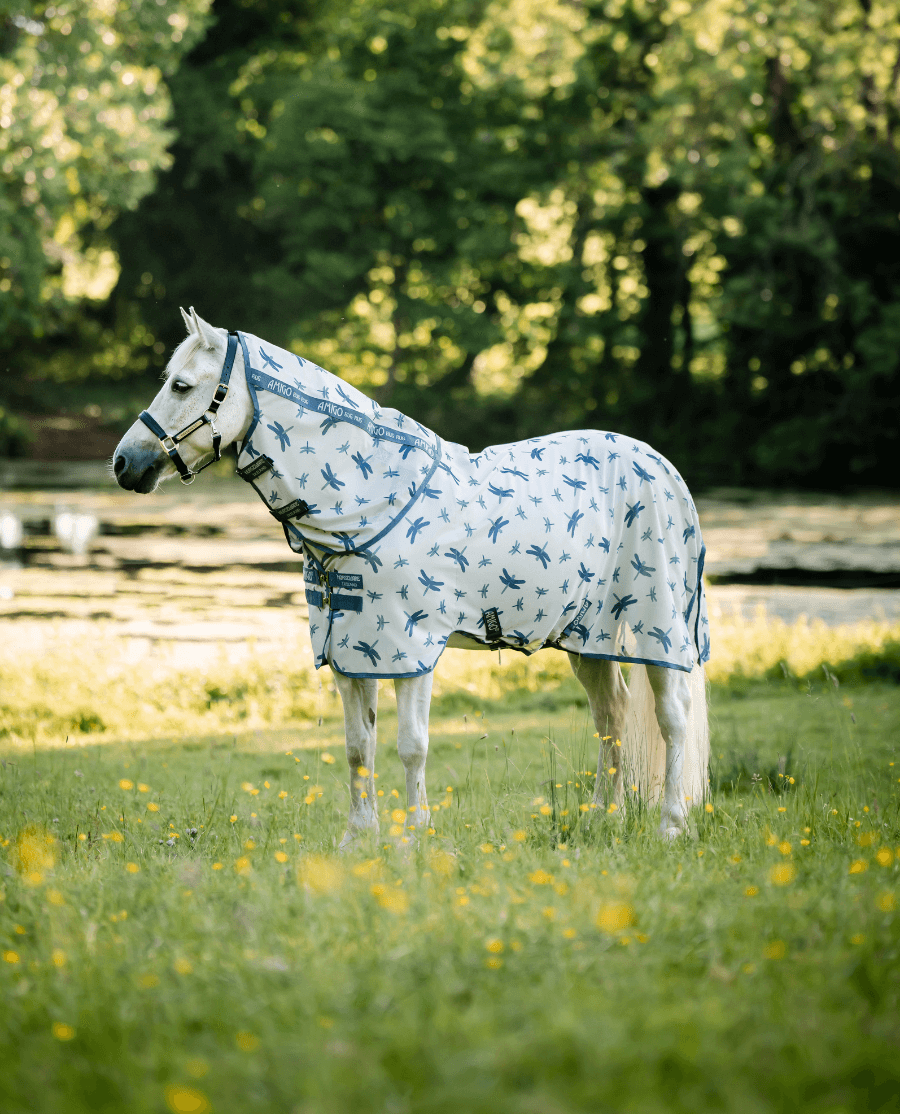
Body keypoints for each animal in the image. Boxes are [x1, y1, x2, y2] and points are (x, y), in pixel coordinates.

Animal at [113, 308, 710, 844]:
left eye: (182, 385)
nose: (124, 464)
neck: (369, 503)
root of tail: (662, 468)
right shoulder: (350, 651)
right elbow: (358, 746)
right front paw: (359, 838)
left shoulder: (412, 648)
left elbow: (411, 745)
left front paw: (415, 837)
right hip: (588, 638)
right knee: (612, 716)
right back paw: (602, 819)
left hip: (657, 628)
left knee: (672, 718)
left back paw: (671, 826)